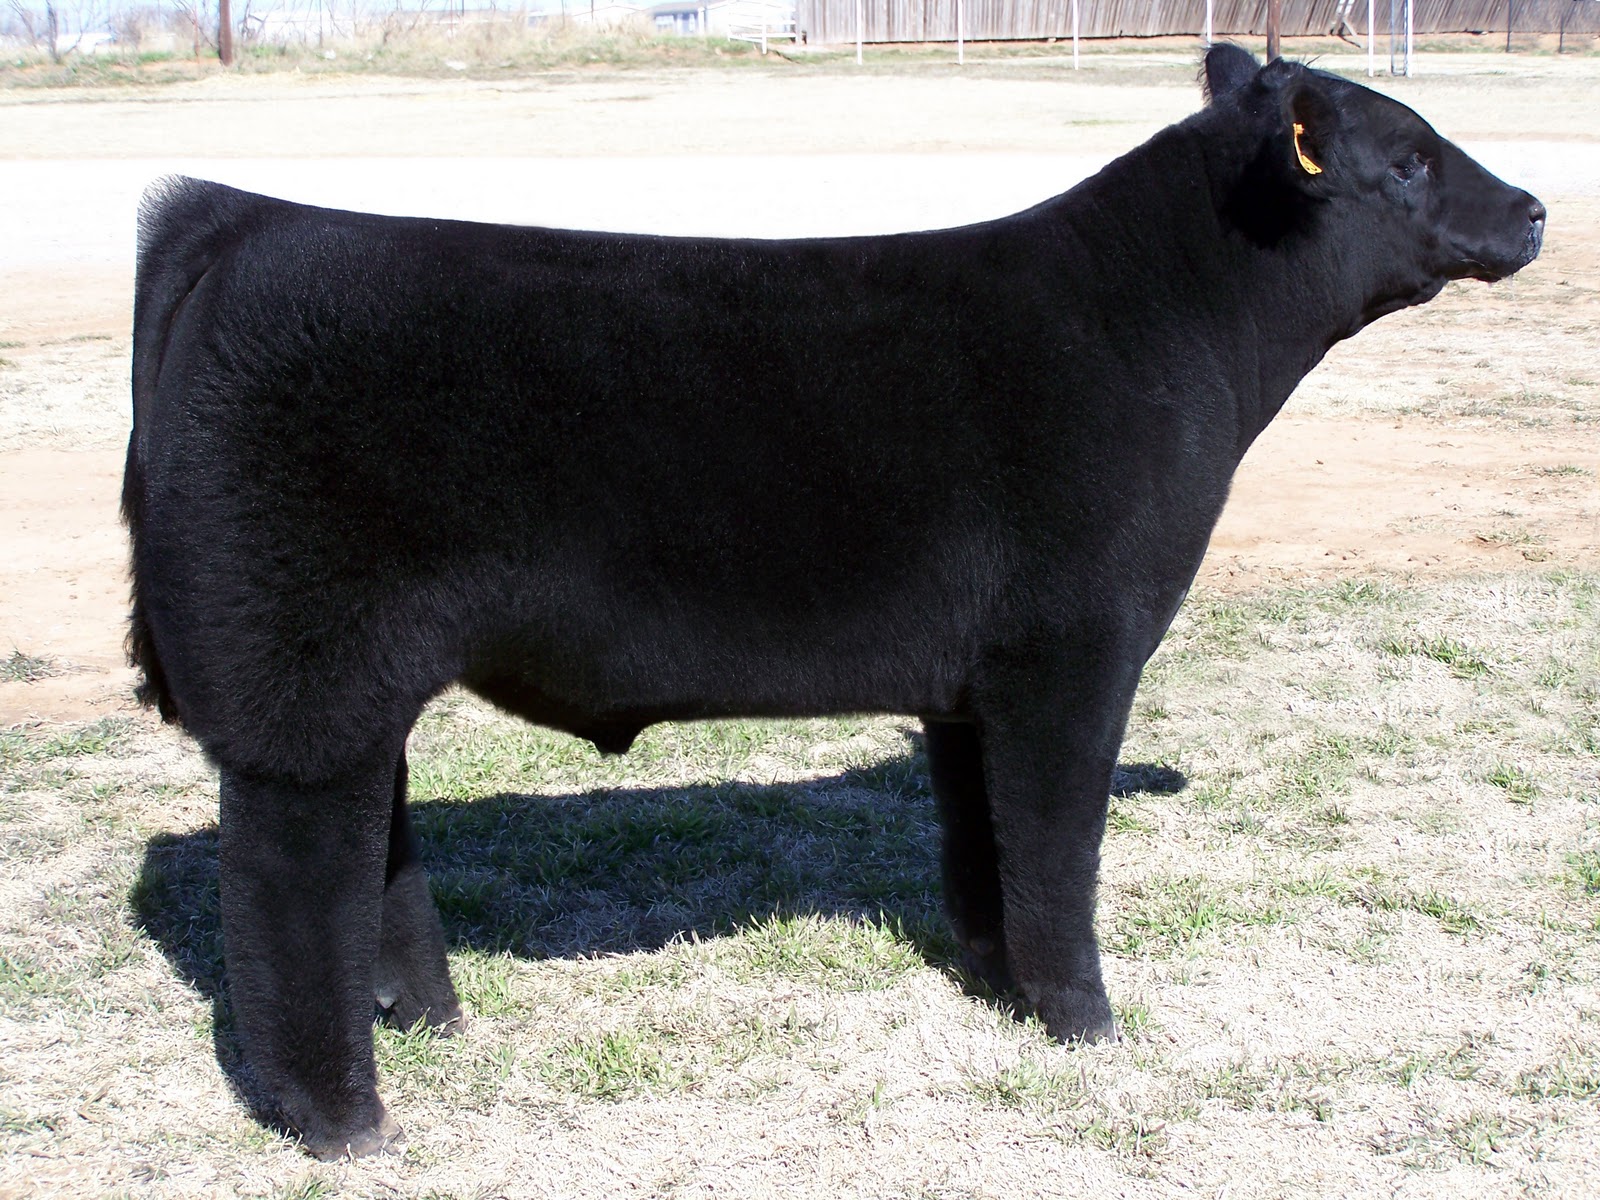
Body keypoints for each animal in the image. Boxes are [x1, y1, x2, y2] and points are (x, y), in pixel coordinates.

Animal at [123, 44, 1544, 1158]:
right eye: (1407, 160)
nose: (1533, 210)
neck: (1165, 322)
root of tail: (238, 219)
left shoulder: (972, 682)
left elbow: (984, 844)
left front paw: (994, 982)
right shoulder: (1073, 650)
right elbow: (1057, 848)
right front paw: (1085, 1022)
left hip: (357, 686)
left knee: (379, 845)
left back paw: (430, 1016)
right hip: (301, 685)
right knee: (288, 885)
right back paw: (344, 1119)